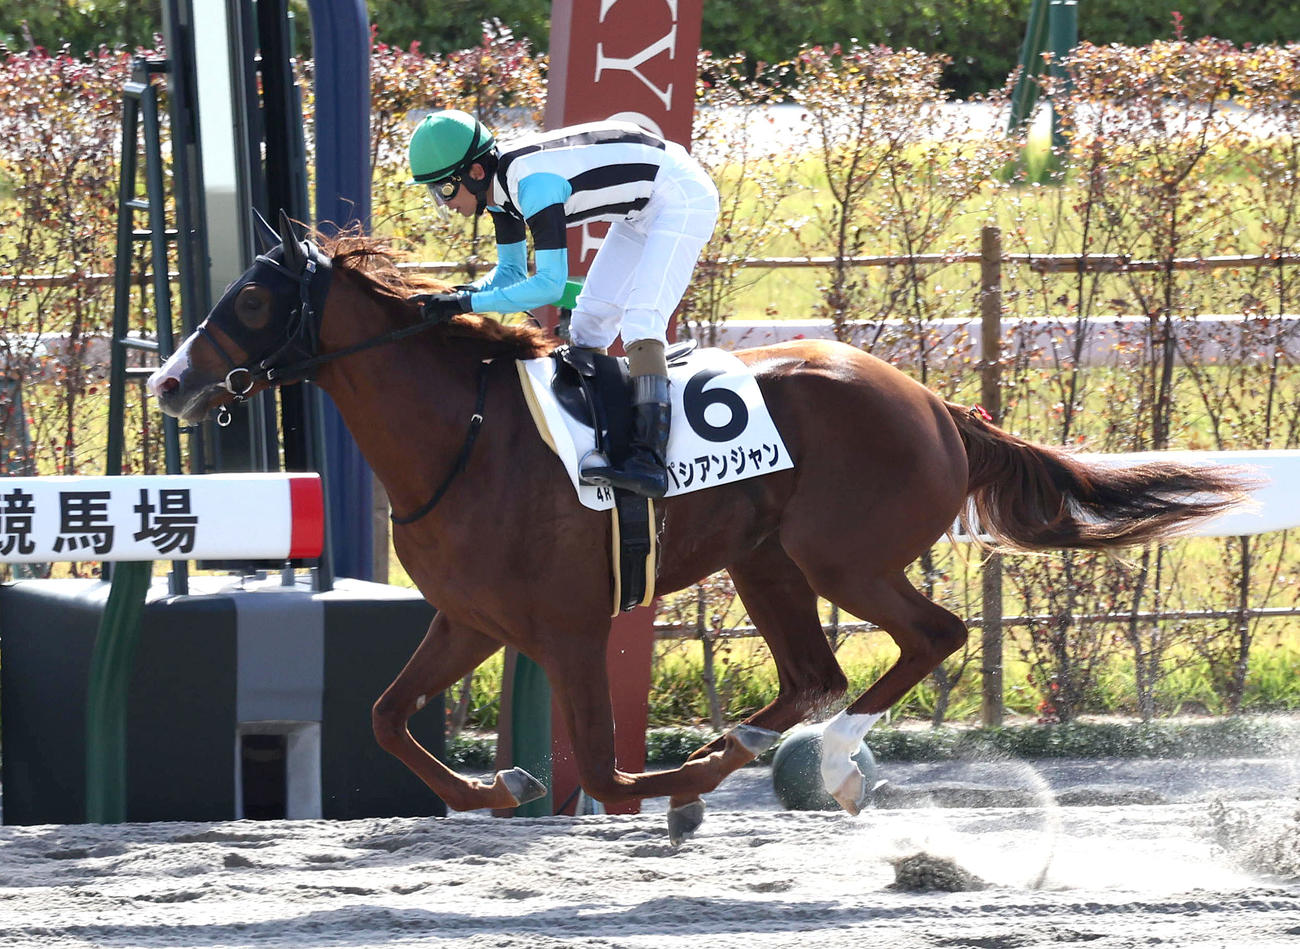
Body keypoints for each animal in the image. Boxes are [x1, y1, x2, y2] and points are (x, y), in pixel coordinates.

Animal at [148, 213, 1248, 842]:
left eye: (254, 299)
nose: (167, 382)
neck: (465, 436)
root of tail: (937, 404)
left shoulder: (571, 628)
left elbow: (601, 767)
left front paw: (632, 784)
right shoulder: (471, 621)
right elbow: (385, 715)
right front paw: (497, 787)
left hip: (840, 556)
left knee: (926, 638)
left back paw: (807, 759)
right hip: (767, 563)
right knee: (816, 672)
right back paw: (747, 750)